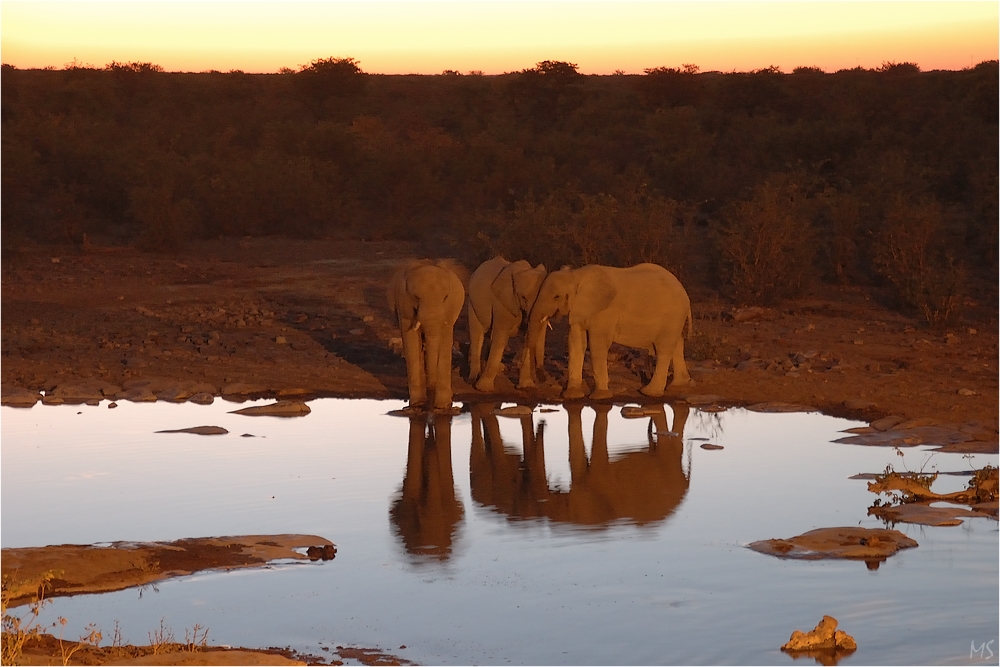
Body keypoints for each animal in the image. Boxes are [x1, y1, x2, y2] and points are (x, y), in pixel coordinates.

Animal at [388, 258, 470, 410]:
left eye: (445, 297)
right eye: (415, 297)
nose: (429, 409)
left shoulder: (448, 311)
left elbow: (444, 339)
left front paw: (442, 406)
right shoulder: (404, 306)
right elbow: (411, 339)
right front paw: (418, 405)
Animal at [466, 254, 548, 392]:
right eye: (523, 297)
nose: (543, 380)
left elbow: (527, 338)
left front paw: (527, 386)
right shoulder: (502, 302)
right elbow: (500, 337)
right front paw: (484, 389)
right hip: (472, 303)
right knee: (478, 334)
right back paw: (472, 380)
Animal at [528, 264, 692, 400]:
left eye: (556, 296)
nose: (540, 379)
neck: (577, 275)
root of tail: (685, 293)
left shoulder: (604, 311)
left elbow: (597, 345)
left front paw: (600, 396)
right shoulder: (579, 309)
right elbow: (576, 342)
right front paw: (572, 396)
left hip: (673, 316)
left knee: (664, 349)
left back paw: (649, 393)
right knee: (677, 345)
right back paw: (678, 385)